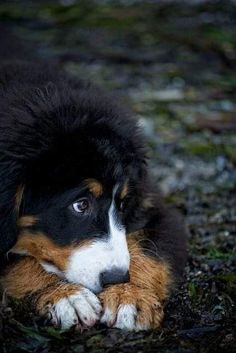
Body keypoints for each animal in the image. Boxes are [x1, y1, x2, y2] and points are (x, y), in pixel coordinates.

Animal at [0, 61, 188, 330]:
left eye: (123, 204)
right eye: (81, 205)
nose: (116, 278)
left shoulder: (153, 206)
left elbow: (147, 248)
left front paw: (129, 296)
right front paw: (66, 295)